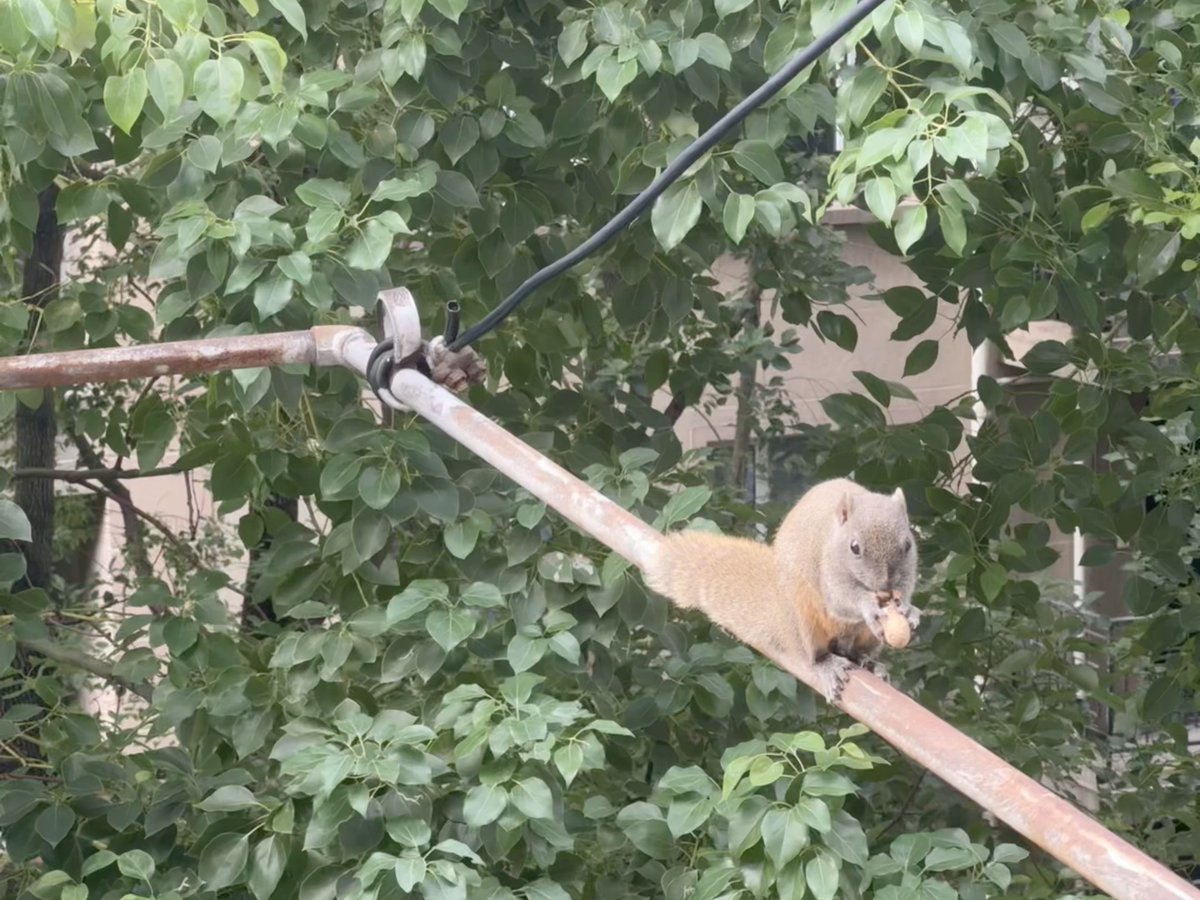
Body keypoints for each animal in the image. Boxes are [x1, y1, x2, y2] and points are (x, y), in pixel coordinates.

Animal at [642, 478, 920, 701]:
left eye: (908, 545)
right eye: (854, 547)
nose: (884, 586)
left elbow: (905, 588)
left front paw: (909, 610)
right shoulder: (827, 570)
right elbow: (841, 599)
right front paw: (868, 606)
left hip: (865, 637)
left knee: (857, 651)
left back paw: (870, 663)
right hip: (803, 622)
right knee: (815, 655)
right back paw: (828, 665)